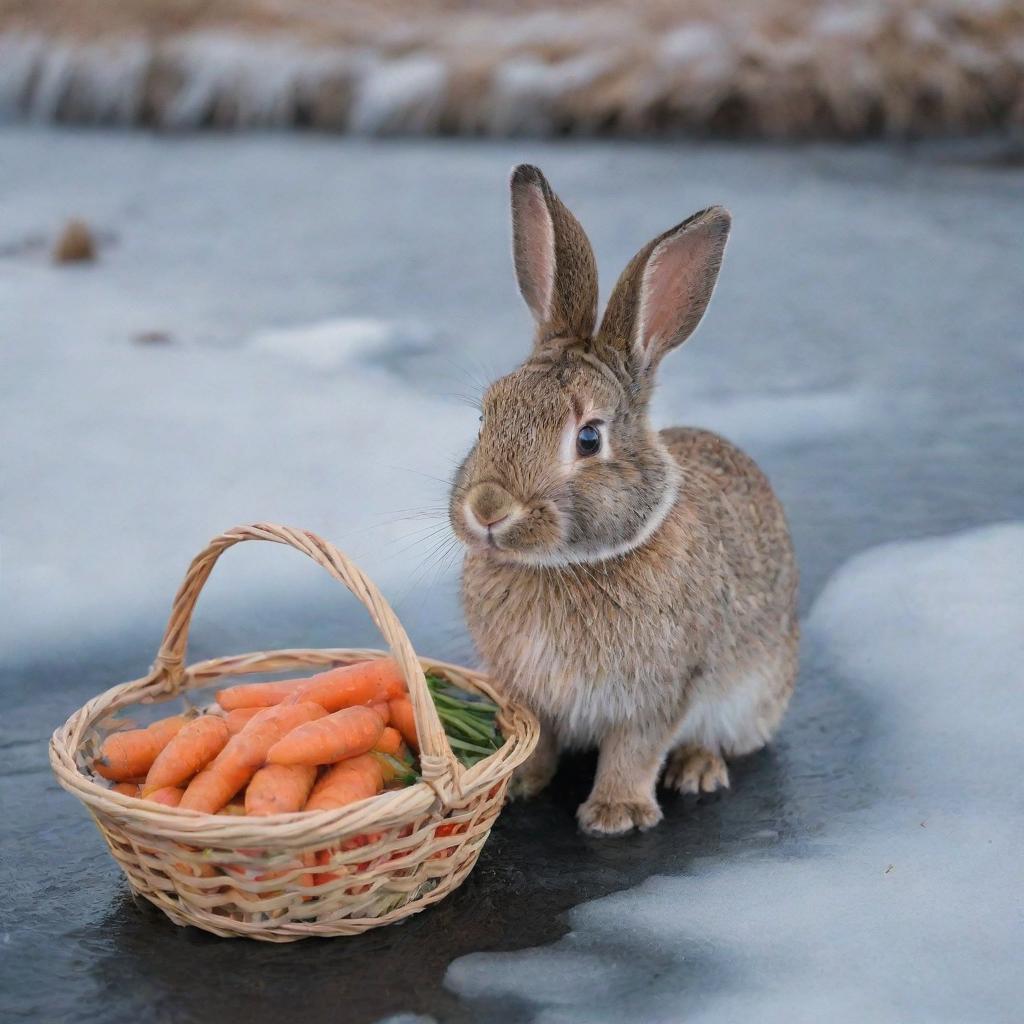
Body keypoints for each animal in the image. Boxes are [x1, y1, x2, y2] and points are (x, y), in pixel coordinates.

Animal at [450, 163, 798, 835]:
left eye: (589, 438)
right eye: (486, 416)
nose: (488, 508)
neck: (565, 566)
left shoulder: (661, 690)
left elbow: (636, 749)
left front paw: (616, 814)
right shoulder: (529, 693)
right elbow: (541, 740)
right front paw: (518, 785)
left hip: (752, 691)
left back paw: (697, 770)